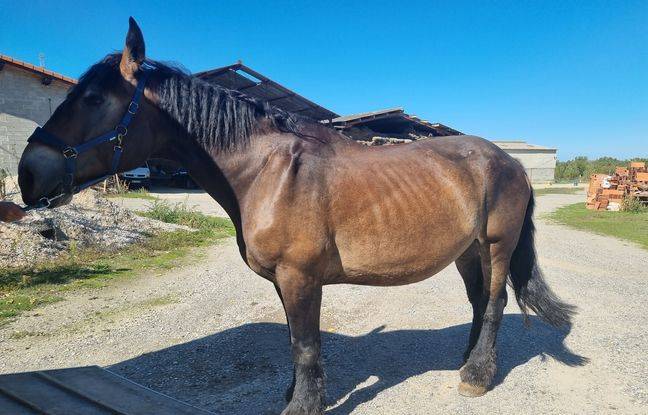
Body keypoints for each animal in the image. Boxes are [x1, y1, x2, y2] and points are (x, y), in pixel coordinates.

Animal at [17, 18, 574, 415]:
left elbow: (305, 344)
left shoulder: (300, 277)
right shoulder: (285, 283)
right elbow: (292, 340)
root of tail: (510, 161)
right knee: (479, 301)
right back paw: (466, 360)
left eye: (92, 97)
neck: (267, 173)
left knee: (496, 302)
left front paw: (304, 405)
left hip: (497, 245)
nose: (27, 175)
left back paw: (478, 376)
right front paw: (295, 395)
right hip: (467, 251)